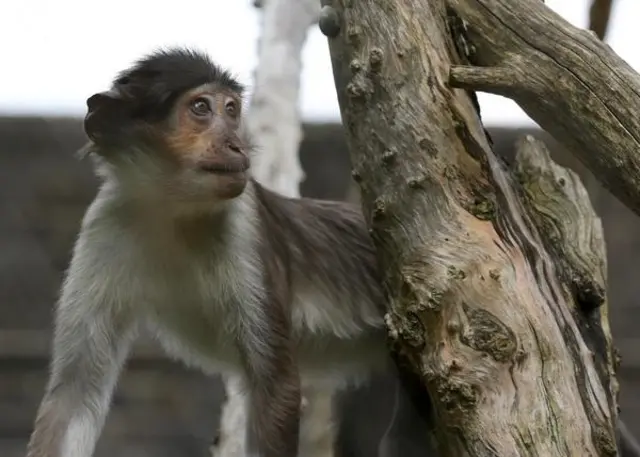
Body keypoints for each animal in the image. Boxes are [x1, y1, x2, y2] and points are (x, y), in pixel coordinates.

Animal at [25, 47, 390, 457]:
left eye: (231, 110)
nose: (236, 144)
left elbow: (276, 386)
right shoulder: (104, 223)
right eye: (201, 107)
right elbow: (74, 395)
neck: (174, 210)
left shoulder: (245, 223)